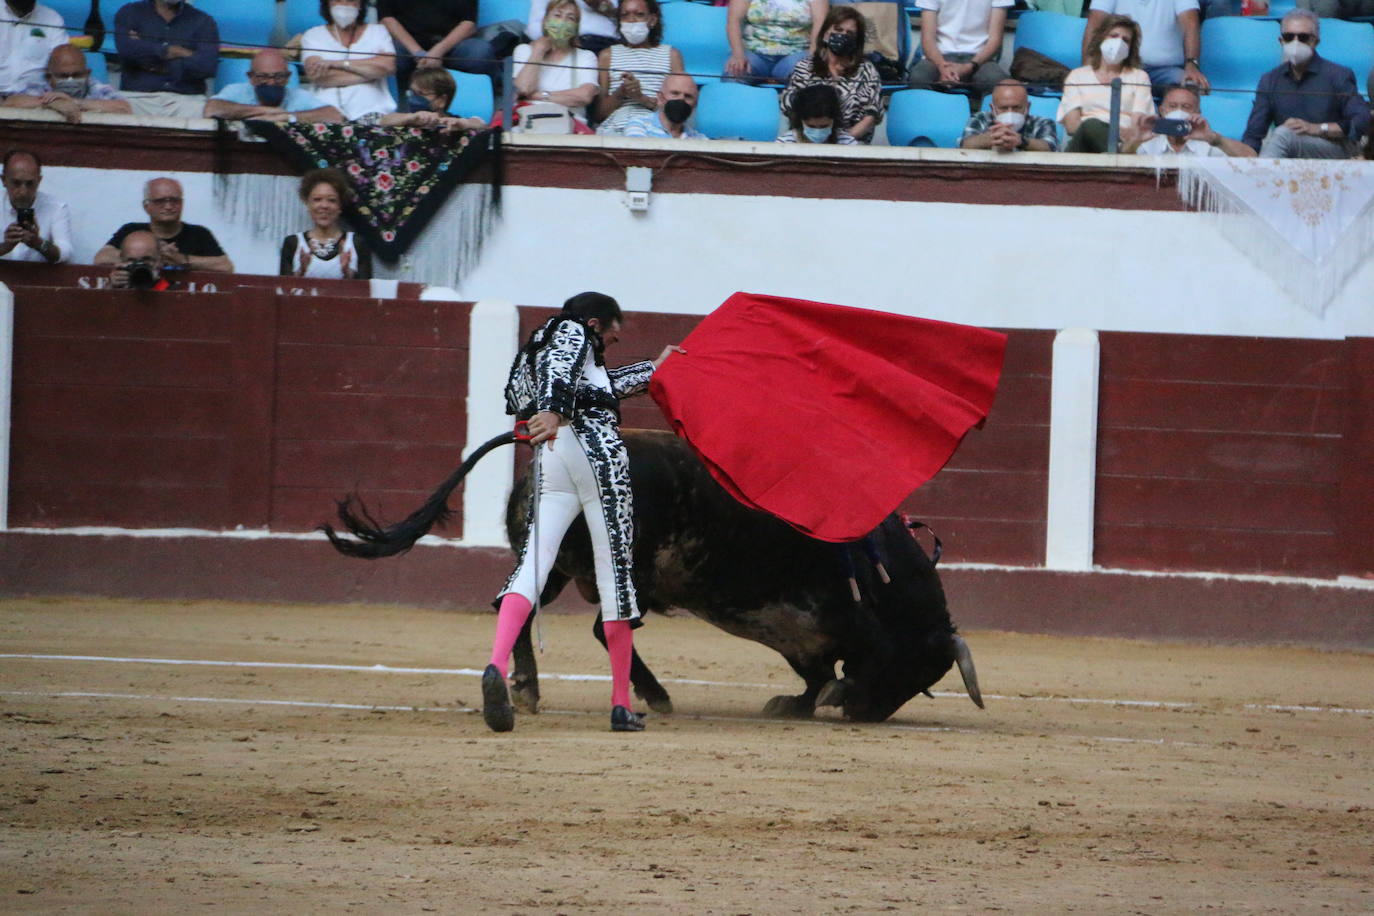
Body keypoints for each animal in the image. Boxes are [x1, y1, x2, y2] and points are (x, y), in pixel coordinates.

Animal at [327, 431, 983, 725]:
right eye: (924, 669)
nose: (869, 714)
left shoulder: (803, 632)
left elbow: (815, 671)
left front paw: (796, 703)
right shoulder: (832, 619)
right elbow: (843, 662)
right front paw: (828, 698)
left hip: (550, 562)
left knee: (517, 606)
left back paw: (525, 690)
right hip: (620, 570)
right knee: (601, 626)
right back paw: (653, 695)